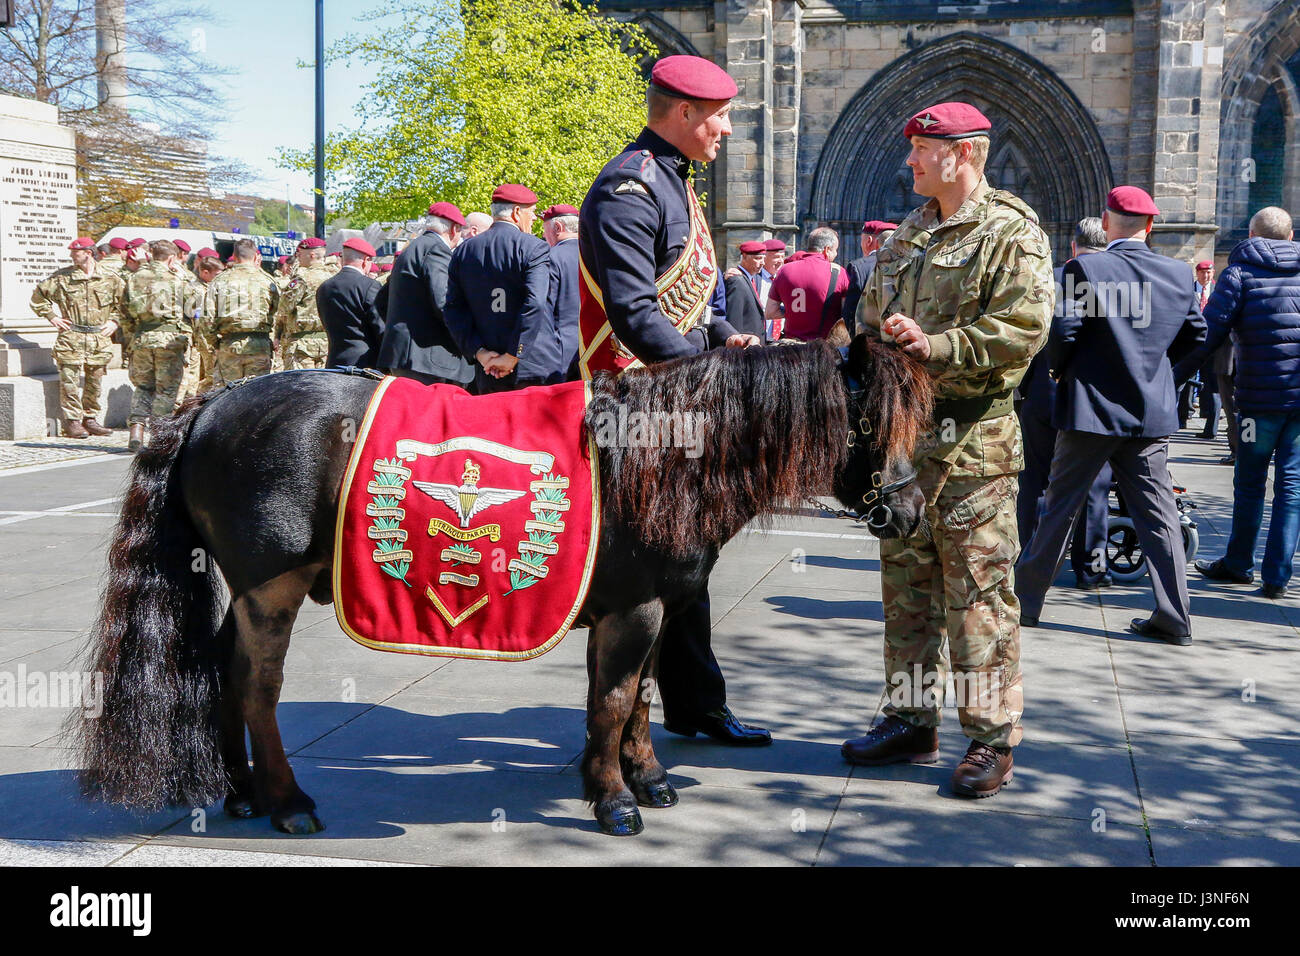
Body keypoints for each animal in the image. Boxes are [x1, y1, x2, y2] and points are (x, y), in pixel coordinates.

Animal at [71, 335, 930, 837]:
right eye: (871, 421)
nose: (910, 508)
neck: (663, 455)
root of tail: (215, 399)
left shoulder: (644, 606)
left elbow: (634, 700)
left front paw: (641, 777)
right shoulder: (638, 607)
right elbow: (615, 699)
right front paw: (615, 799)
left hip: (251, 591)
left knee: (223, 671)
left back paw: (243, 791)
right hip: (272, 587)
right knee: (255, 684)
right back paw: (287, 801)